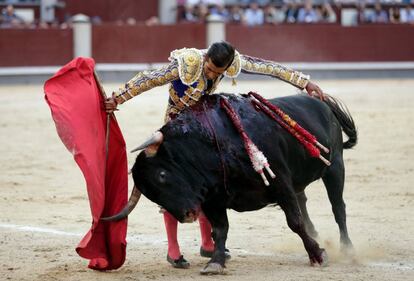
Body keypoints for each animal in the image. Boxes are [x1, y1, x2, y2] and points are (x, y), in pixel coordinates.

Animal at [105, 93, 358, 272]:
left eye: (162, 175)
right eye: (150, 194)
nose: (187, 215)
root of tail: (322, 103)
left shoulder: (280, 184)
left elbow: (294, 222)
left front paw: (318, 255)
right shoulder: (213, 199)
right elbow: (220, 230)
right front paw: (215, 262)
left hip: (335, 167)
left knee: (338, 208)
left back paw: (347, 248)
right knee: (304, 201)